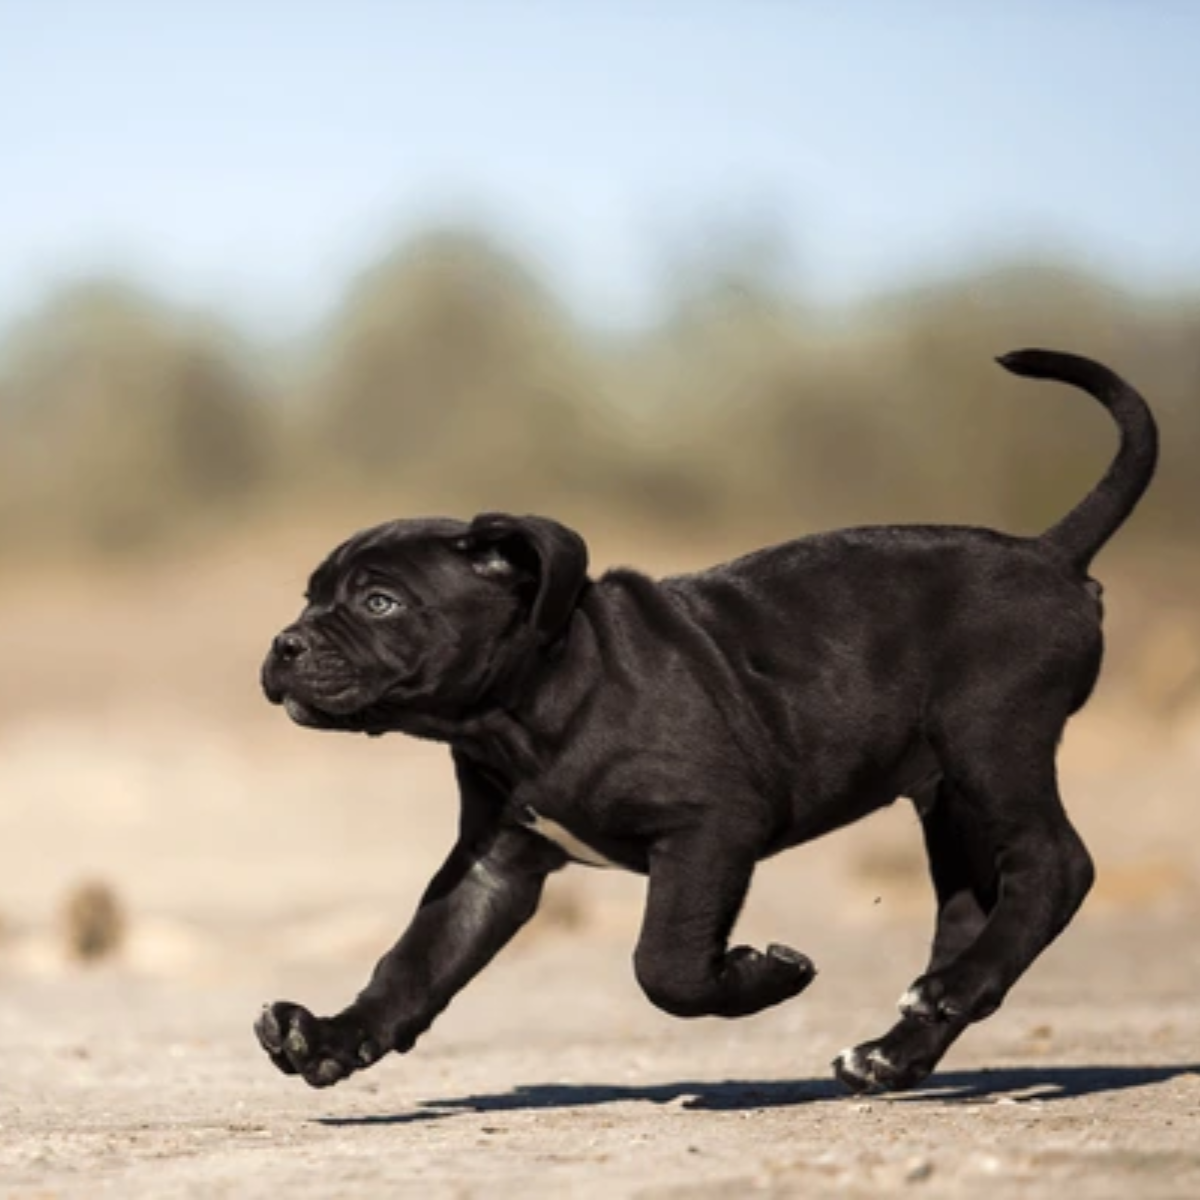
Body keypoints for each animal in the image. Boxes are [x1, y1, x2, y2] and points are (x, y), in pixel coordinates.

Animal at [258, 350, 1156, 1094]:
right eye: (309, 597)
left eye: (380, 602)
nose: (284, 645)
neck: (525, 705)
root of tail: (1050, 555)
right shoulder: (495, 862)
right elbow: (418, 958)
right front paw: (332, 1037)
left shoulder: (708, 826)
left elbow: (667, 963)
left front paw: (763, 974)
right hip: (949, 793)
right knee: (968, 907)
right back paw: (897, 1049)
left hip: (992, 742)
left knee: (1056, 864)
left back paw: (948, 994)